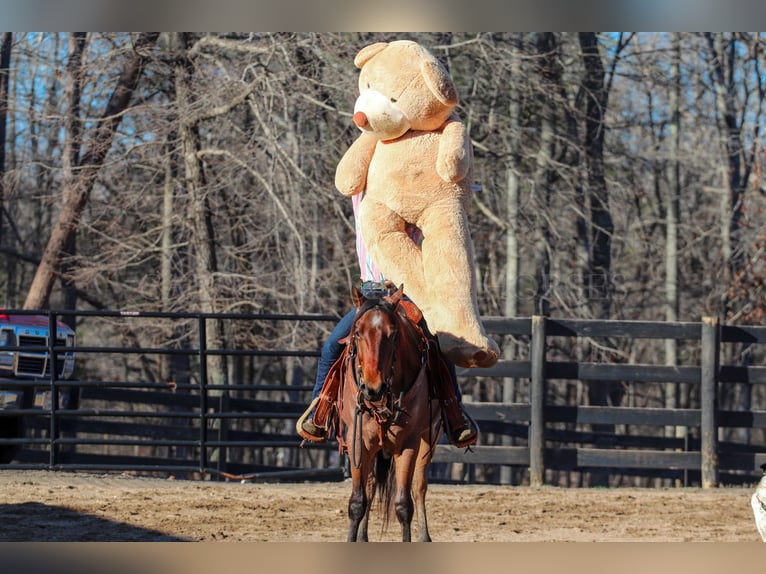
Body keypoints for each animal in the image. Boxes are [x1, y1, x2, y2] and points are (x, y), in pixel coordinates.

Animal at [338, 286, 440, 544]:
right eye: (357, 333)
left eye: (393, 335)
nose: (373, 388)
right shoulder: (357, 440)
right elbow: (357, 502)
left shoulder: (408, 443)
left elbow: (403, 505)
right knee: (371, 485)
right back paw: (363, 537)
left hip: (430, 437)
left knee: (419, 486)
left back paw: (424, 536)